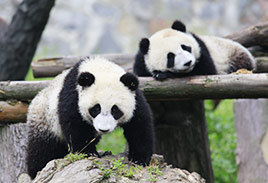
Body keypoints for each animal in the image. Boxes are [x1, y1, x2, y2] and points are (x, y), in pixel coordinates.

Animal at [26, 56, 155, 179]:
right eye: (96, 108)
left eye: (115, 110)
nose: (103, 129)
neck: (100, 67)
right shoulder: (73, 95)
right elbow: (75, 125)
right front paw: (88, 152)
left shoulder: (135, 98)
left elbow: (139, 126)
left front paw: (139, 158)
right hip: (45, 120)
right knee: (43, 150)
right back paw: (37, 170)